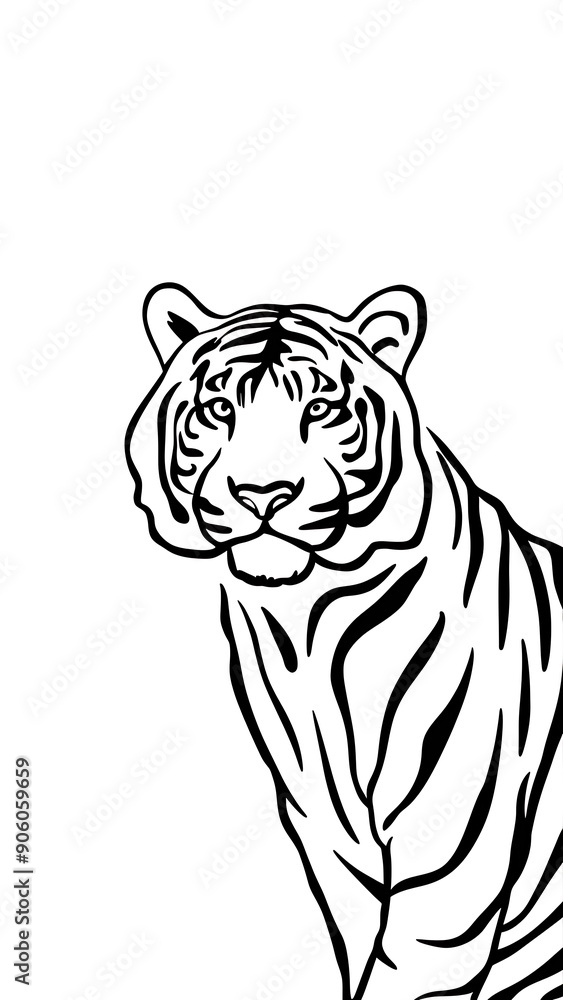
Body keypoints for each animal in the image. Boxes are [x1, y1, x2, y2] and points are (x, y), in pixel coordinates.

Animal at [125, 282, 563, 1000]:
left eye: (320, 408)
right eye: (219, 409)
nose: (263, 491)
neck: (299, 624)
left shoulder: (454, 845)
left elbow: (413, 972)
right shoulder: (331, 841)